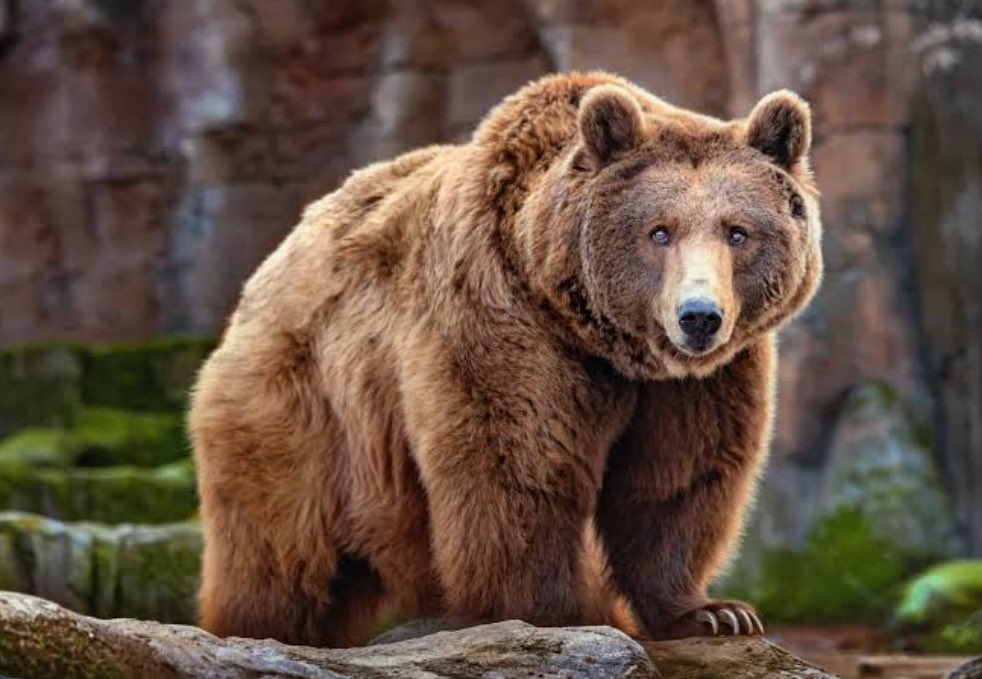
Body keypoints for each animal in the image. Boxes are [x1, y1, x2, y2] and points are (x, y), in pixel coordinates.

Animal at [189, 71, 822, 647]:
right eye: (658, 232)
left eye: (737, 232)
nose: (699, 316)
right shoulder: (500, 319)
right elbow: (516, 465)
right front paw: (554, 613)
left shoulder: (700, 382)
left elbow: (677, 480)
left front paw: (713, 612)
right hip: (303, 404)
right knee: (280, 547)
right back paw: (255, 628)